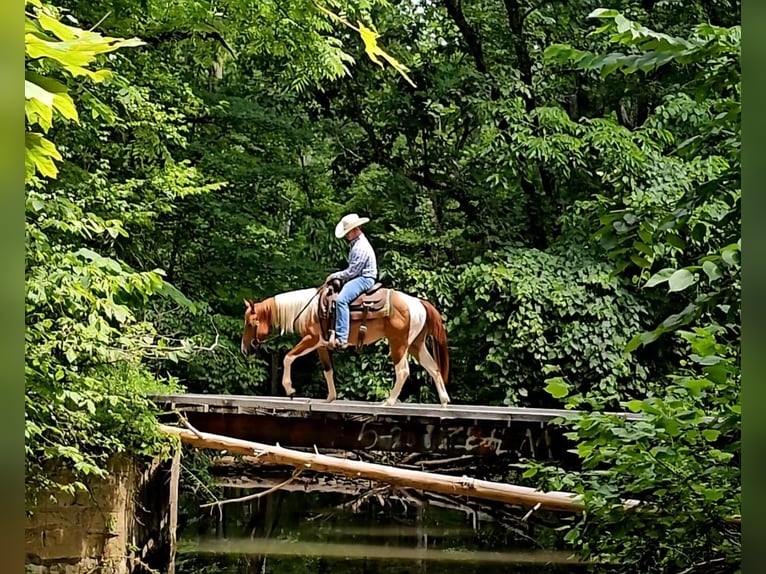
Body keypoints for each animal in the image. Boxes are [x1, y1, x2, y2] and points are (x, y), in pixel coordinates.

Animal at [240, 285, 451, 407]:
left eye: (250, 324)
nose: (244, 349)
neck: (308, 309)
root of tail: (418, 302)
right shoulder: (321, 345)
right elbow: (328, 370)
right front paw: (330, 397)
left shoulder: (311, 339)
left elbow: (288, 357)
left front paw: (290, 389)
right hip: (416, 344)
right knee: (433, 368)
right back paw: (444, 401)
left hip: (398, 343)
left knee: (403, 371)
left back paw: (389, 402)